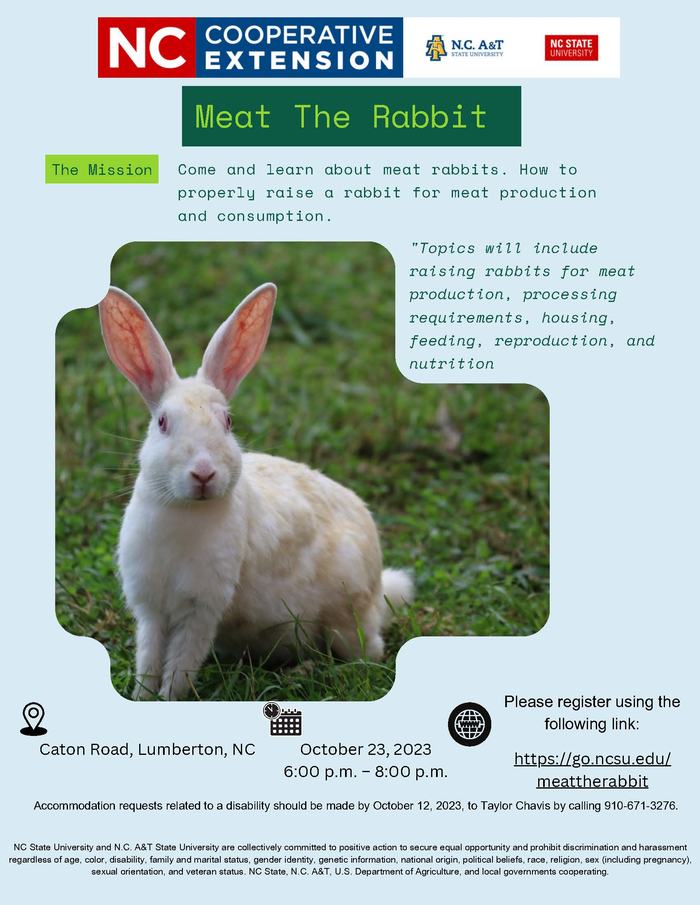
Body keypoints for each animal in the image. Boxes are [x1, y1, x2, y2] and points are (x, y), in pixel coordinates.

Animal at [98, 282, 414, 700]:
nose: (203, 474)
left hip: (346, 617)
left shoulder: (202, 609)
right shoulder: (151, 609)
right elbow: (149, 658)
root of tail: (379, 589)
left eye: (228, 422)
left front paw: (168, 698)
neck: (185, 511)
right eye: (163, 422)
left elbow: (181, 662)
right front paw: (141, 697)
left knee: (369, 651)